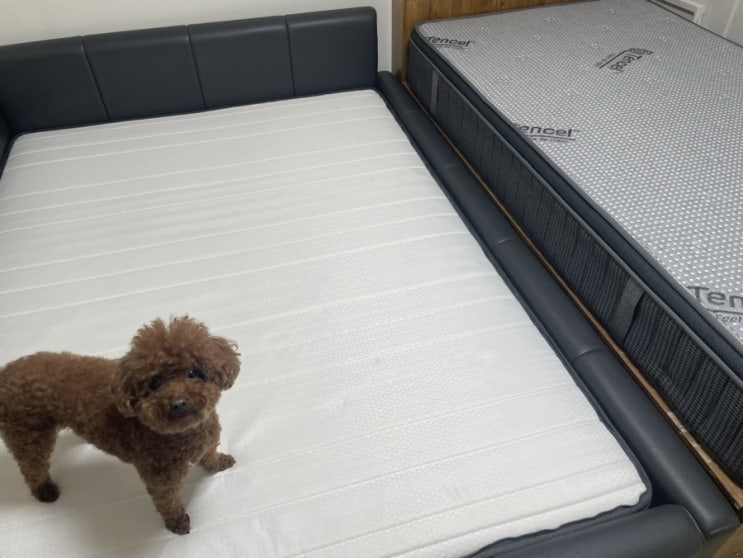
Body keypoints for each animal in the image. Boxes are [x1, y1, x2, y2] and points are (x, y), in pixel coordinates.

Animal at [0, 316, 240, 534]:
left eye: (193, 373)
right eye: (155, 384)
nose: (178, 403)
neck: (185, 433)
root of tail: (5, 372)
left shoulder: (208, 441)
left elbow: (210, 455)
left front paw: (219, 463)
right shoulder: (161, 478)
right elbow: (168, 501)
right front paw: (177, 522)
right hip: (27, 434)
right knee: (32, 467)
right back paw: (45, 490)